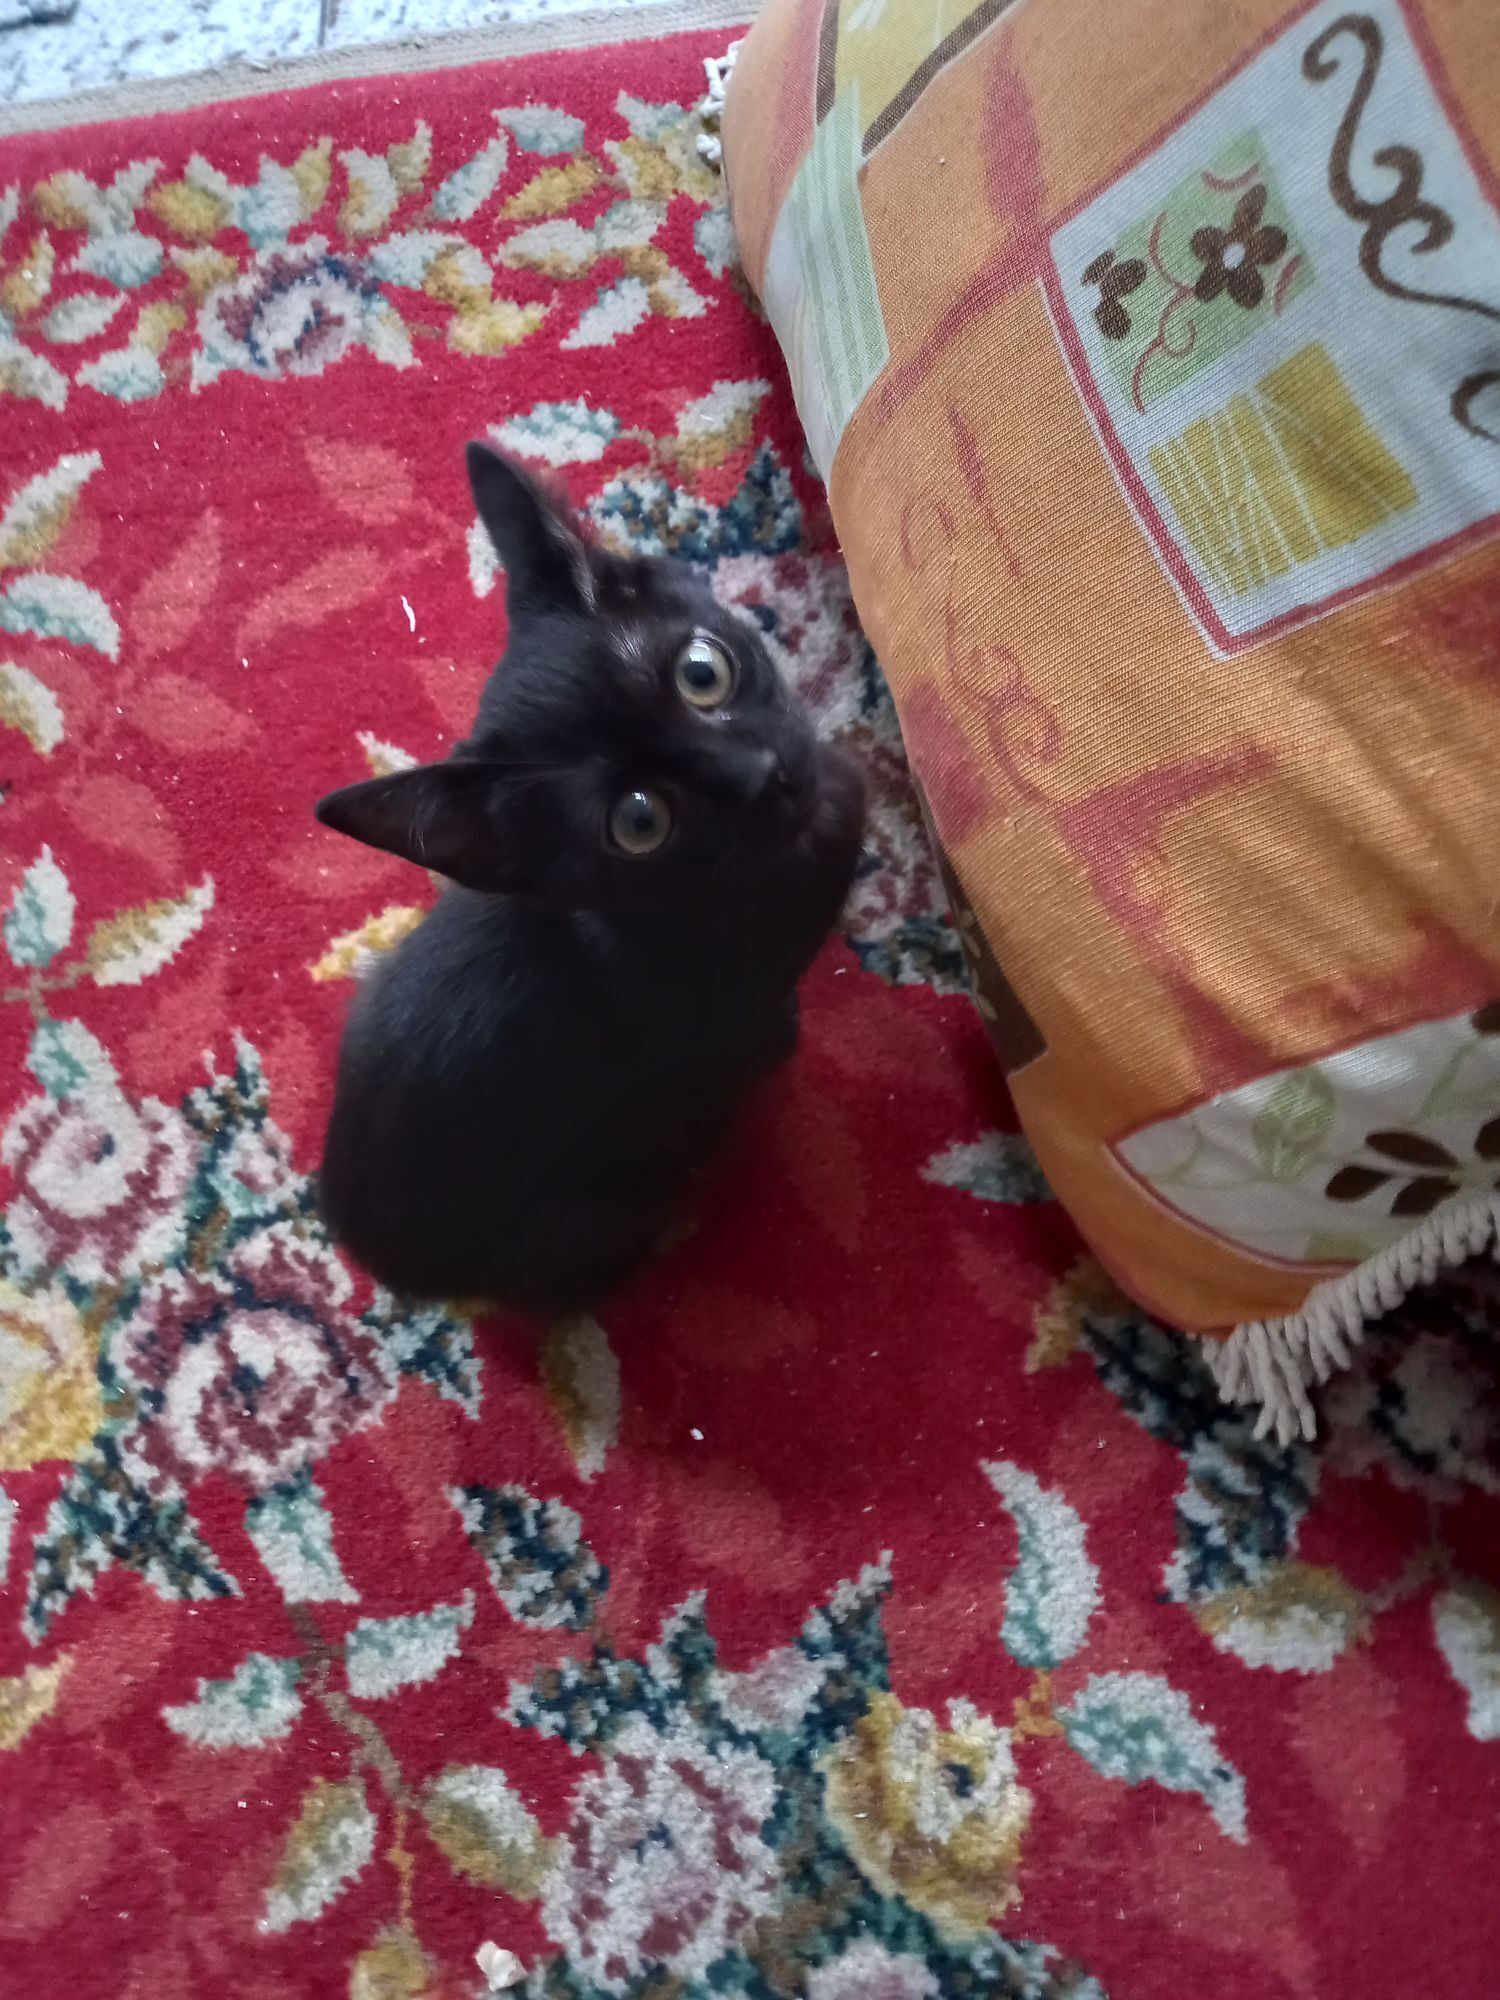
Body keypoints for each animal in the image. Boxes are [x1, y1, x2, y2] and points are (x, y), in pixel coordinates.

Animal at [314, 442, 866, 1312]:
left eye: (701, 673)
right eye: (639, 822)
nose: (761, 776)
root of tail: (375, 1254)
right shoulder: (732, 1023)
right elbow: (766, 1033)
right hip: (589, 1227)